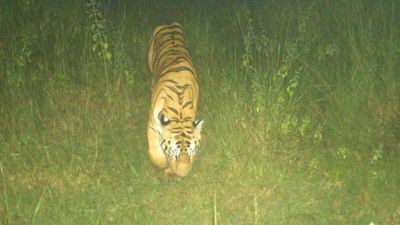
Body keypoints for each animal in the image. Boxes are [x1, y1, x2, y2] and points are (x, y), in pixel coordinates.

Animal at [146, 22, 203, 179]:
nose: (183, 175)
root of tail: (168, 23)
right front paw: (164, 165)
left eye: (192, 153)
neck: (179, 111)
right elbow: (154, 152)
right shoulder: (152, 124)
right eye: (174, 154)